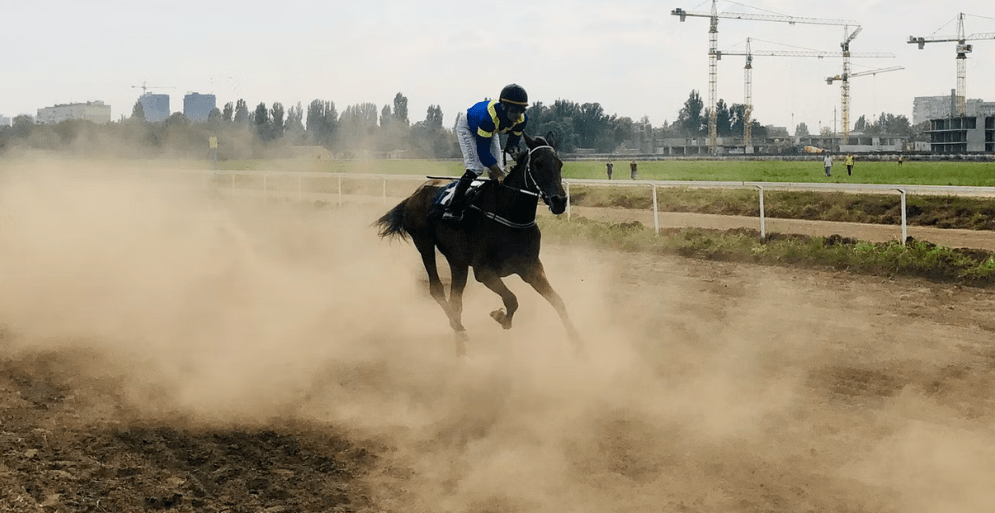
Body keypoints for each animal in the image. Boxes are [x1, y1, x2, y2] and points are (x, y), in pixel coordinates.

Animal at [375, 133, 580, 355]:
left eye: (559, 163)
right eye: (538, 163)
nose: (559, 201)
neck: (511, 216)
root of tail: (415, 194)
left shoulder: (531, 268)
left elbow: (558, 301)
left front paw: (579, 345)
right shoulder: (484, 271)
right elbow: (512, 299)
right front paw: (501, 317)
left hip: (457, 260)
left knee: (456, 299)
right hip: (424, 243)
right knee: (436, 288)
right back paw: (459, 328)